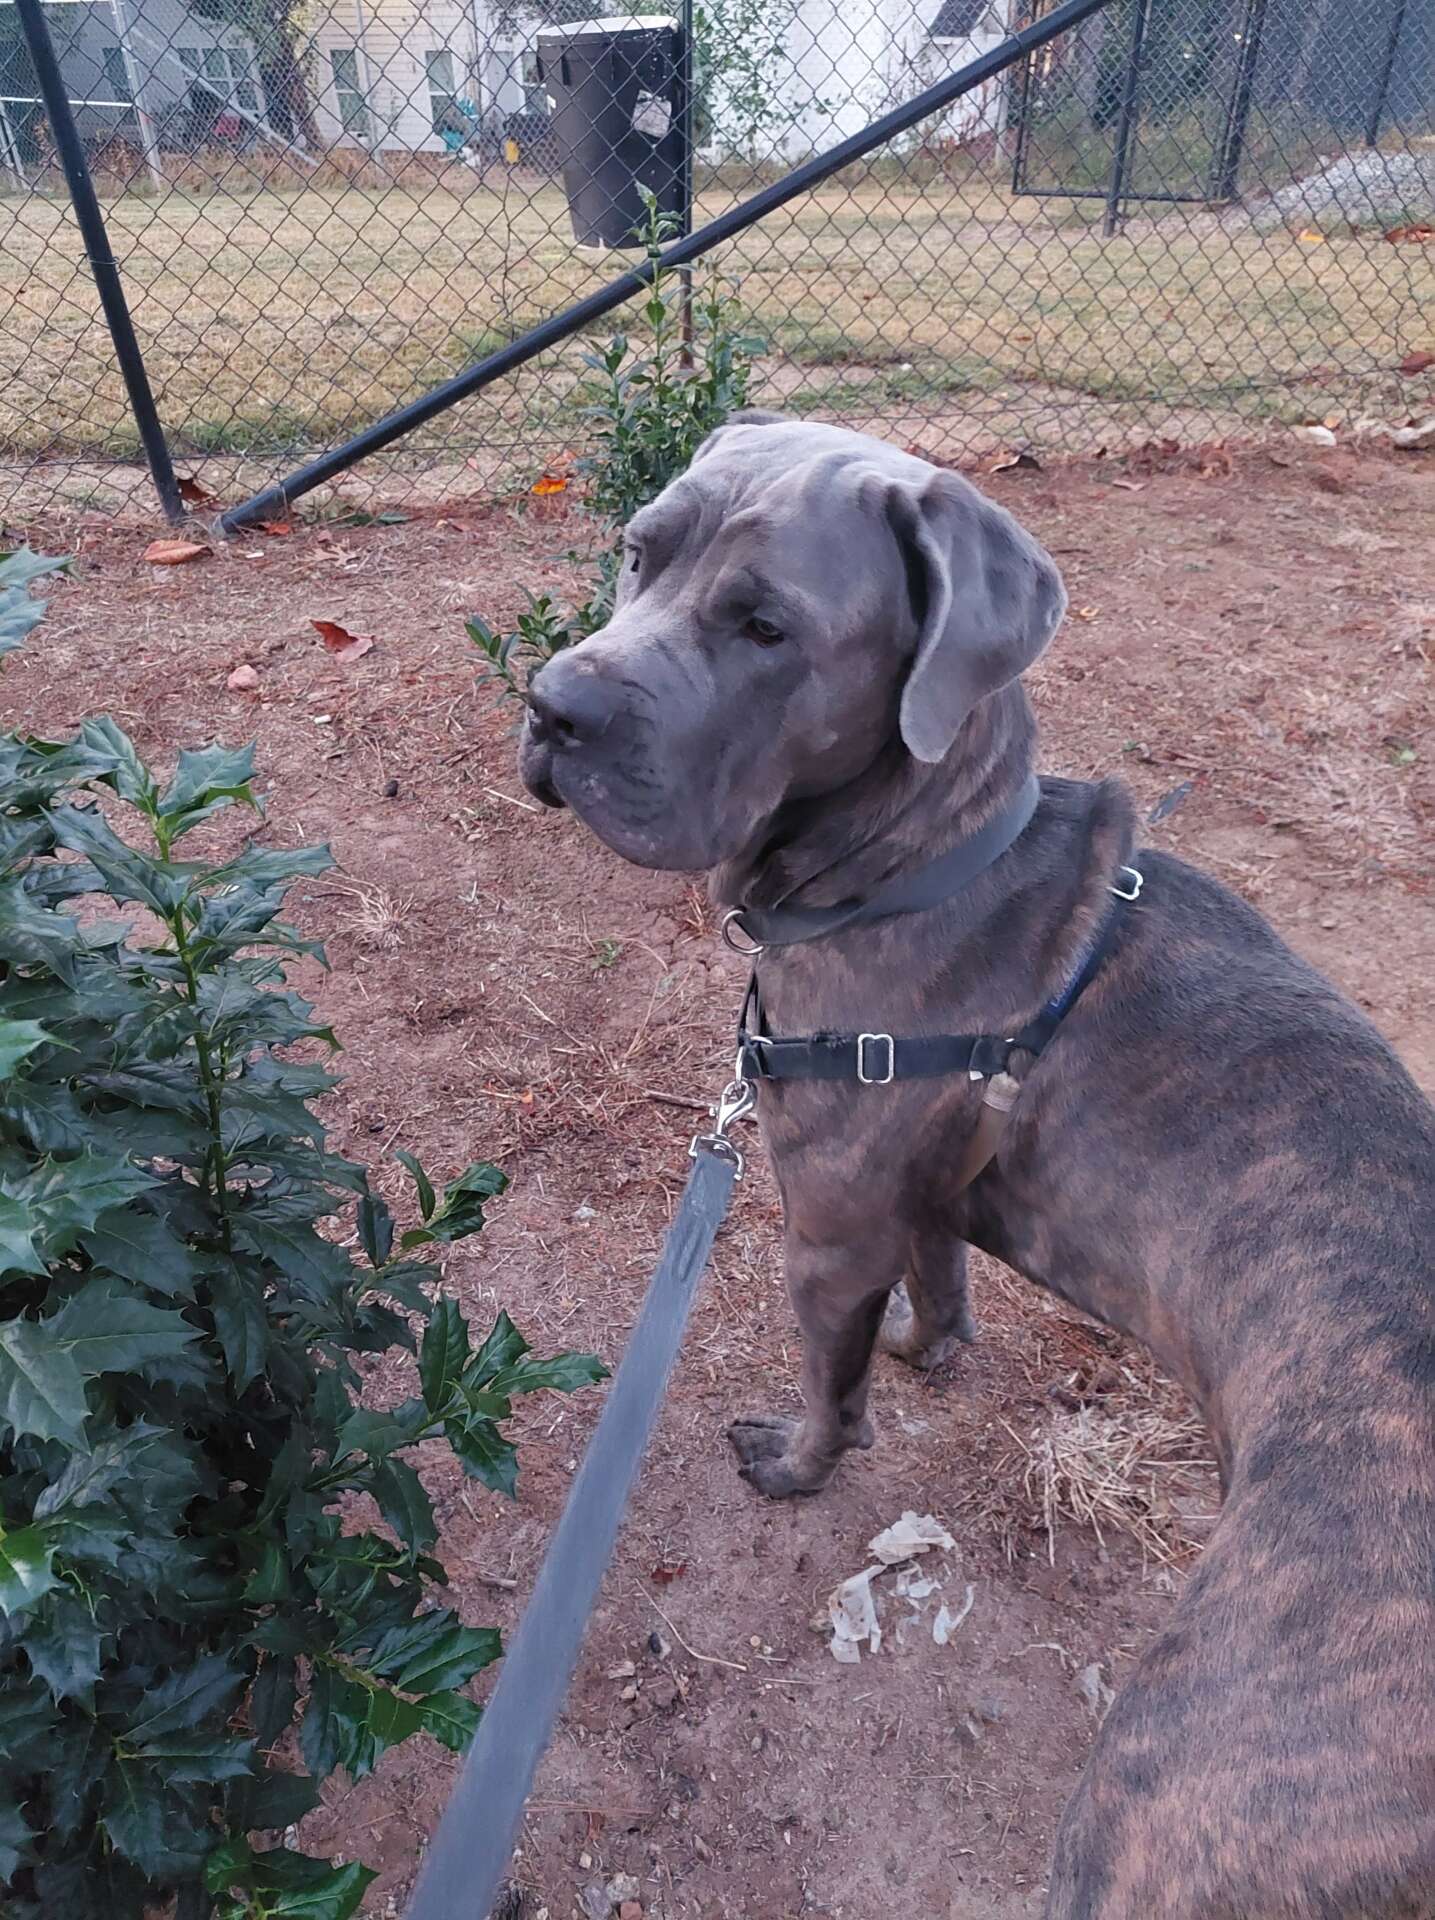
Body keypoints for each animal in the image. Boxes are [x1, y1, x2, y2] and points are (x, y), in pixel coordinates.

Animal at [518, 415, 1435, 1919]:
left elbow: (826, 1389)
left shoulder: (823, 1233)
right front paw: (925, 1350)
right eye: (638, 550)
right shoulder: (915, 1199)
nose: (551, 706)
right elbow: (937, 1284)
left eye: (765, 626)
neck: (922, 856)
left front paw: (796, 1462)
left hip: (1165, 1804)